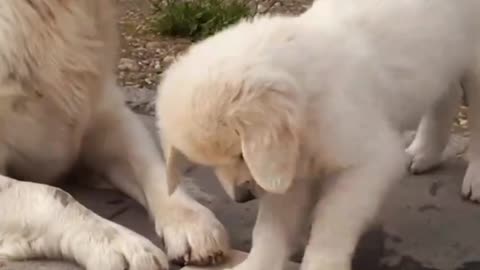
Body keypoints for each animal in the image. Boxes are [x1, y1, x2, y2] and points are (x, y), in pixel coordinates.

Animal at [158, 0, 480, 270]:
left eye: (240, 154)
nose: (242, 197)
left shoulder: (368, 162)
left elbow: (332, 223)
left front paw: (323, 263)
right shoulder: (284, 174)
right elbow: (270, 228)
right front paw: (256, 264)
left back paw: (475, 179)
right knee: (447, 95)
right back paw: (424, 153)